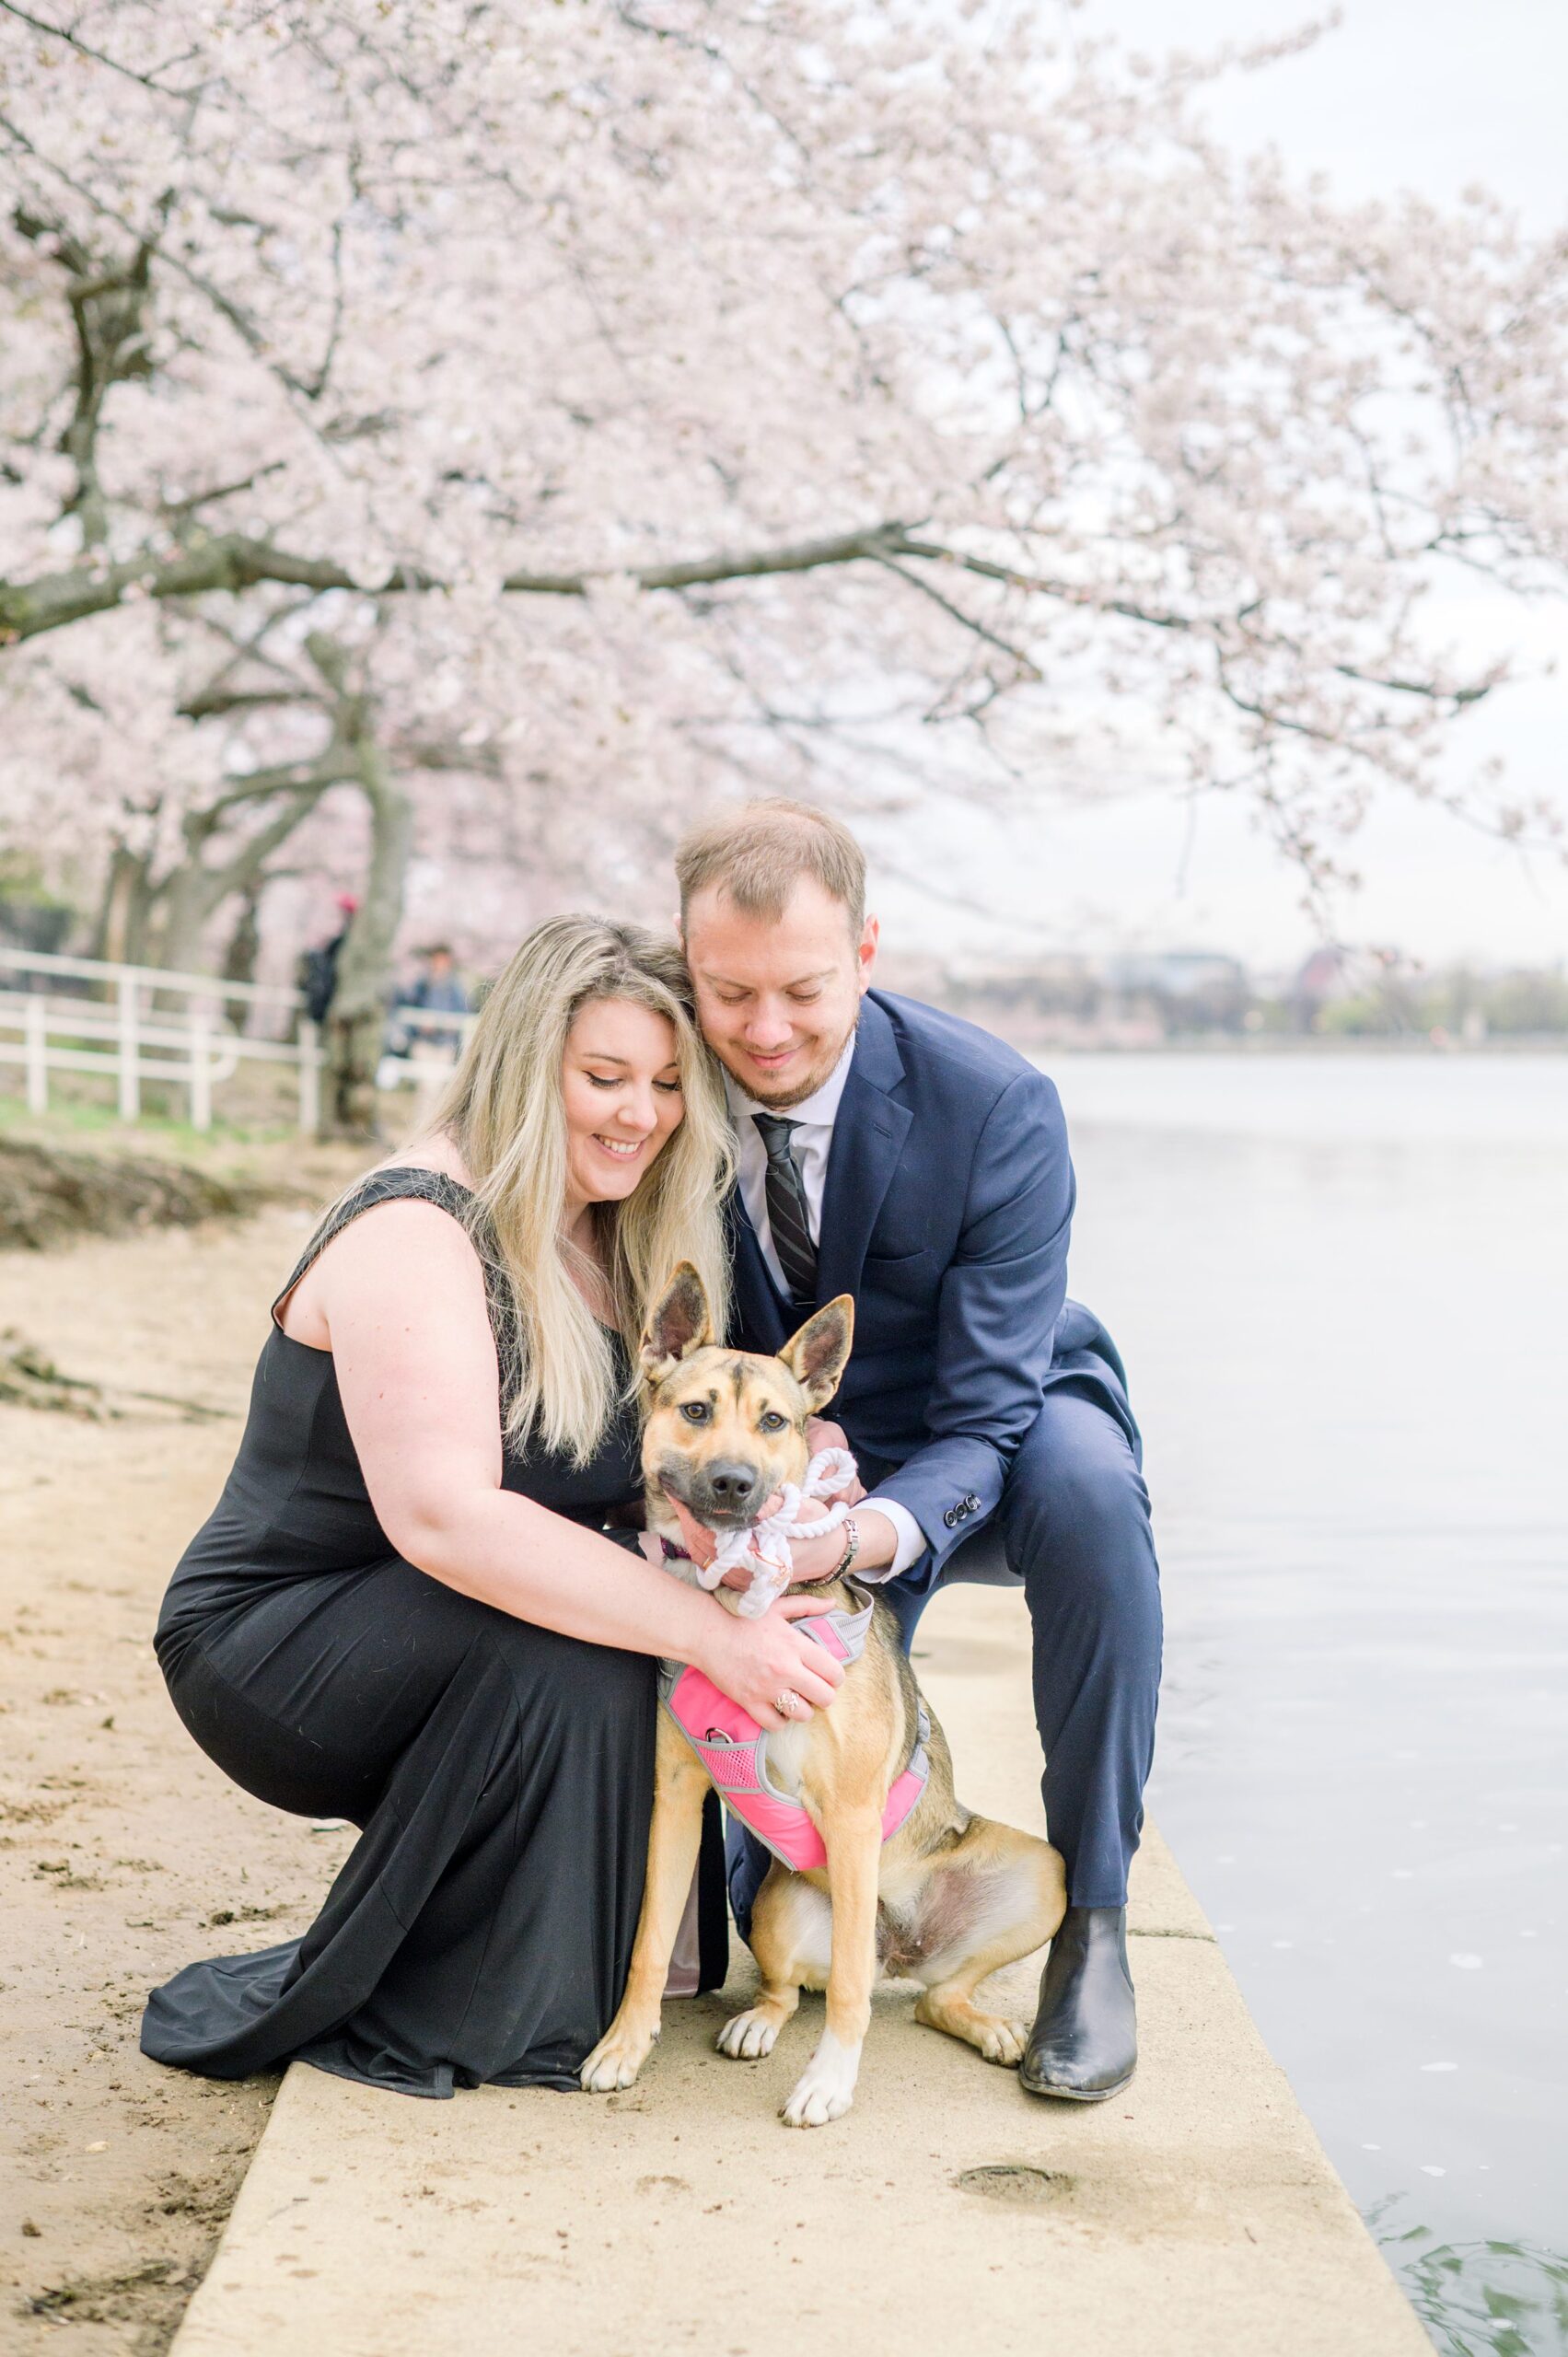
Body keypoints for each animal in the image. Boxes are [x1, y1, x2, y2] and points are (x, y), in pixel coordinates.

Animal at [579, 1272, 1070, 2140]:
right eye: (695, 1410)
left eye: (774, 1421)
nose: (735, 1482)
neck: (742, 1606)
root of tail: (899, 1946)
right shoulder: (675, 1797)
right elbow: (647, 1940)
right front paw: (624, 2046)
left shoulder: (848, 1811)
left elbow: (844, 1991)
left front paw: (829, 2083)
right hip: (778, 1905)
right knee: (803, 1988)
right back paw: (758, 2023)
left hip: (1041, 1875)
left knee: (910, 1990)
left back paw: (990, 2028)